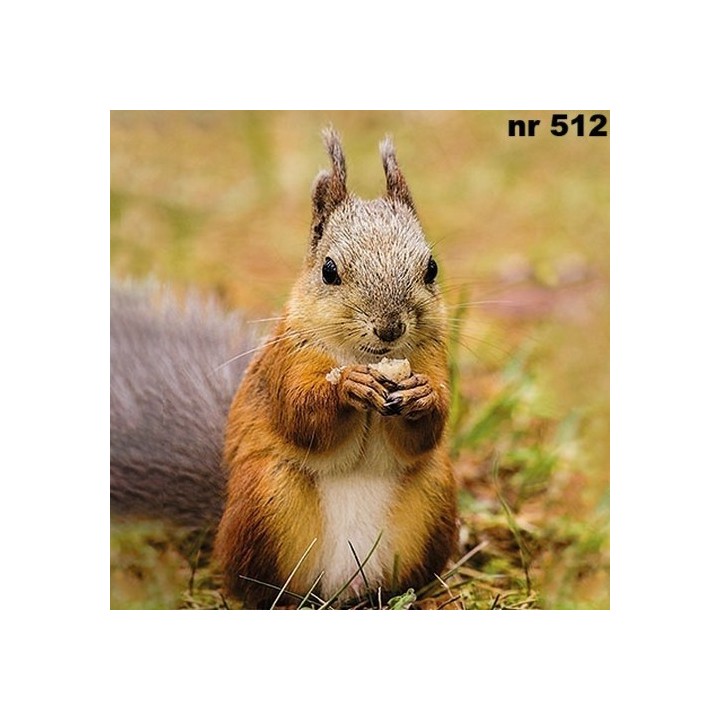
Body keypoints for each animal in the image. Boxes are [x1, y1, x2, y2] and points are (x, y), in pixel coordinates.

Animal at [111, 128, 457, 608]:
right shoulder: (287, 360)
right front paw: (346, 386)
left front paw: (422, 396)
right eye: (329, 270)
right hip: (267, 496)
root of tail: (343, 587)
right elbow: (299, 416)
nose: (390, 328)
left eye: (432, 268)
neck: (368, 357)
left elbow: (427, 432)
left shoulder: (432, 358)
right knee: (255, 586)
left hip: (434, 494)